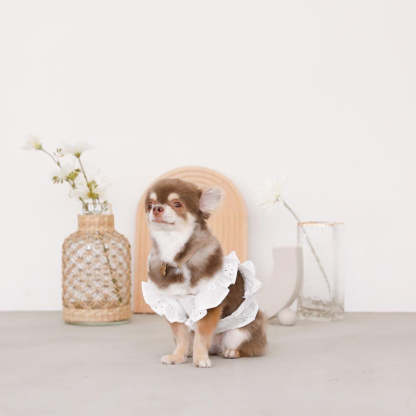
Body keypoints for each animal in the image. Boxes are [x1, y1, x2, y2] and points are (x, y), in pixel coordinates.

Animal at [142, 178, 267, 368]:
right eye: (150, 205)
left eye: (177, 204)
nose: (157, 209)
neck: (177, 258)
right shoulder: (172, 305)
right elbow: (181, 337)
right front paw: (177, 356)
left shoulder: (209, 304)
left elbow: (201, 337)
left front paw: (200, 358)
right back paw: (189, 352)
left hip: (239, 333)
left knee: (249, 349)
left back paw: (232, 352)